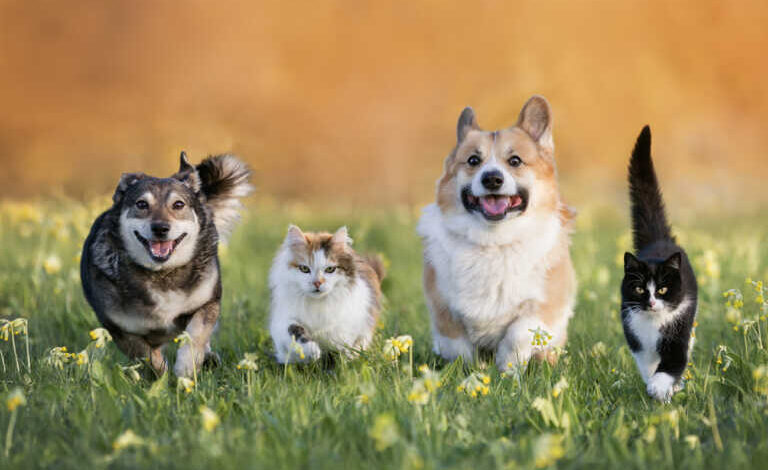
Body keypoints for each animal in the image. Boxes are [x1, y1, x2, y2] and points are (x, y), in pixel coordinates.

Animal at [268, 225, 384, 364]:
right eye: (304, 269)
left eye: (330, 269)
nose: (317, 283)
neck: (317, 304)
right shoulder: (283, 320)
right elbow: (294, 331)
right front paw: (312, 352)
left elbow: (339, 348)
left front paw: (337, 363)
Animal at [420, 93, 576, 370]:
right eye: (473, 160)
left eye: (515, 161)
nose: (492, 179)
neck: (493, 241)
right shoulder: (443, 309)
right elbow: (458, 347)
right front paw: (471, 371)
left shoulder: (543, 306)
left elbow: (517, 336)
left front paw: (506, 371)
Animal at [620, 126, 700, 404]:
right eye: (640, 289)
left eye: (663, 289)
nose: (653, 303)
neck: (654, 324)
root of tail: (660, 239)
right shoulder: (635, 338)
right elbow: (647, 366)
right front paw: (653, 386)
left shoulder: (678, 333)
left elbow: (672, 364)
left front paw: (660, 389)